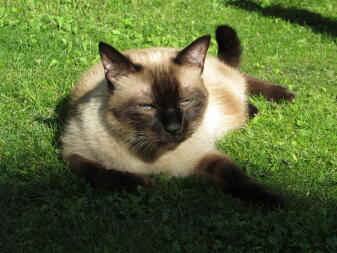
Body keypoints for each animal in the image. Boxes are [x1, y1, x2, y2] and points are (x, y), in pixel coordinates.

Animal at [61, 24, 294, 207]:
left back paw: (285, 96)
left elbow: (238, 179)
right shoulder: (73, 154)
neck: (154, 157)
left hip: (231, 94)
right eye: (147, 107)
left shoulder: (206, 156)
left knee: (242, 78)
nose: (174, 128)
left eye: (185, 101)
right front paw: (144, 184)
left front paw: (273, 200)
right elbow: (102, 173)